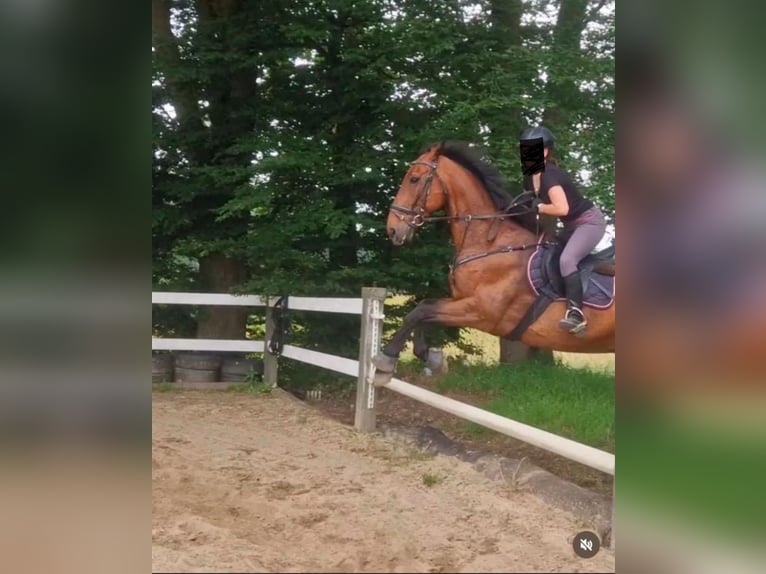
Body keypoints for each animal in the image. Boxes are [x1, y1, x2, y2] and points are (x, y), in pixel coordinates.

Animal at [372, 141, 616, 382]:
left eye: (414, 179)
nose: (392, 229)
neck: (490, 243)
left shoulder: (481, 311)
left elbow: (420, 312)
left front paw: (386, 360)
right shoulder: (460, 300)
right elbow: (424, 307)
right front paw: (431, 357)